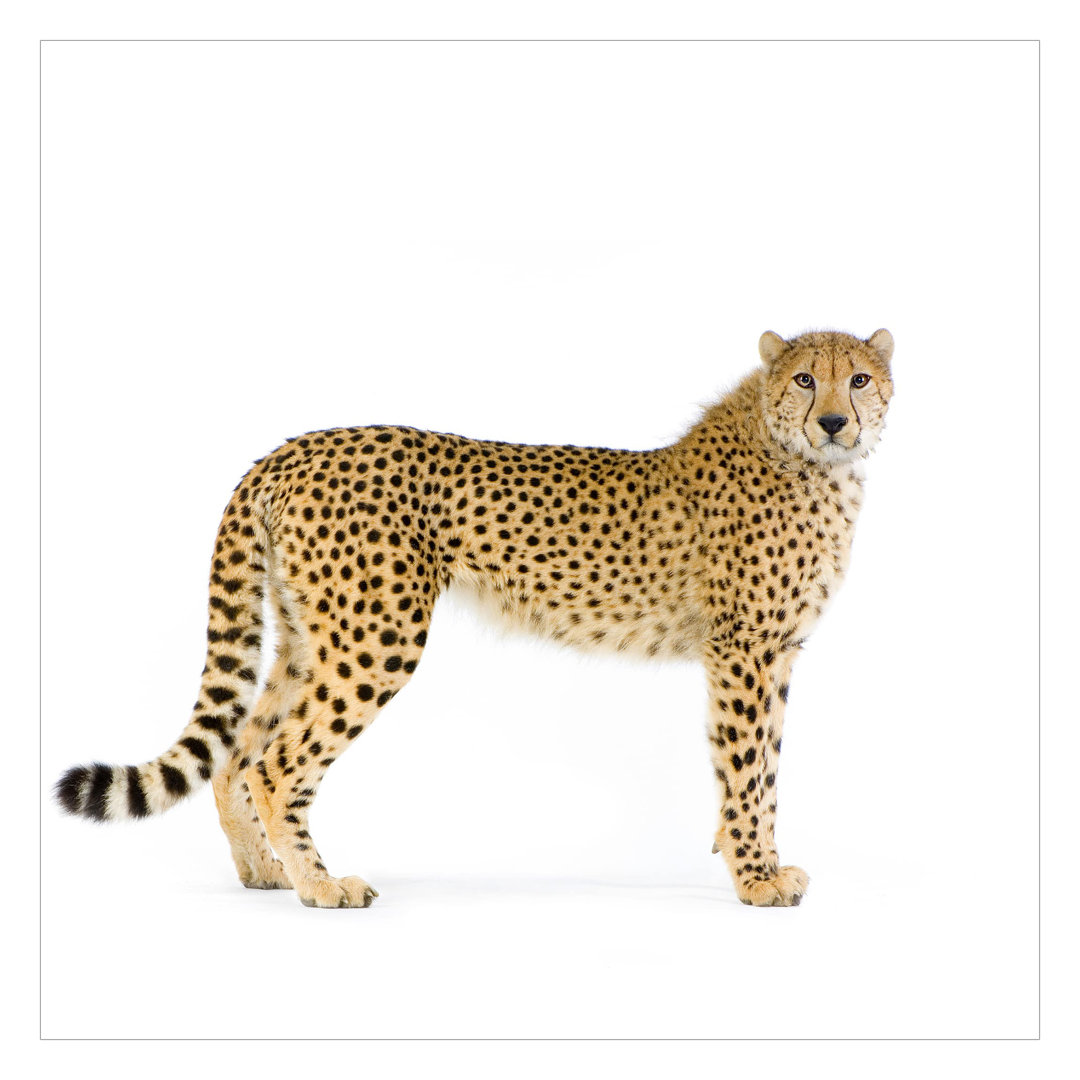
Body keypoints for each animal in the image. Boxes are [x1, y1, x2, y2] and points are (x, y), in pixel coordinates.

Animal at [56, 327, 894, 909]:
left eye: (858, 378)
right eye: (805, 380)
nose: (833, 422)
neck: (810, 465)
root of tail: (294, 447)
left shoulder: (773, 652)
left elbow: (765, 768)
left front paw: (760, 864)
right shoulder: (745, 651)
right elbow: (747, 768)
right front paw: (756, 879)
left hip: (307, 635)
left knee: (237, 754)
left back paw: (266, 873)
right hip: (375, 636)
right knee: (277, 761)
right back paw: (321, 886)